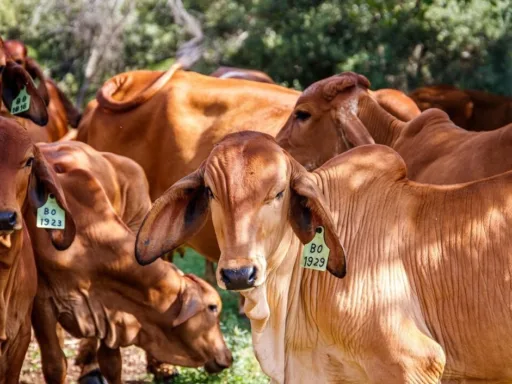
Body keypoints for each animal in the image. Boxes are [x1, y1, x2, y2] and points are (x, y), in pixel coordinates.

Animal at [25, 142, 231, 384]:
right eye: (213, 307)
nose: (228, 357)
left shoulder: (112, 313)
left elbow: (112, 363)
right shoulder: (42, 301)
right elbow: (55, 364)